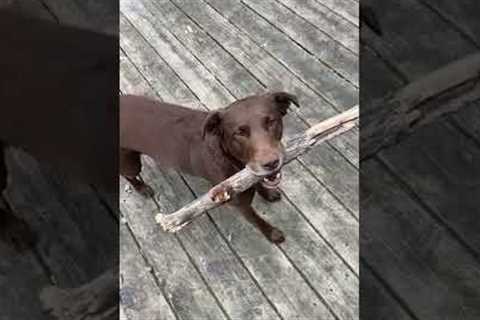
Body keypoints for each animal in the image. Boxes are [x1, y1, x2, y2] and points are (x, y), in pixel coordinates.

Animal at [120, 92, 298, 242]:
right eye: (239, 133)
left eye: (271, 122)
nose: (271, 163)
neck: (228, 156)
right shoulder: (238, 203)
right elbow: (256, 219)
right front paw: (272, 233)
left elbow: (259, 182)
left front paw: (268, 193)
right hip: (131, 162)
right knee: (128, 175)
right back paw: (142, 188)